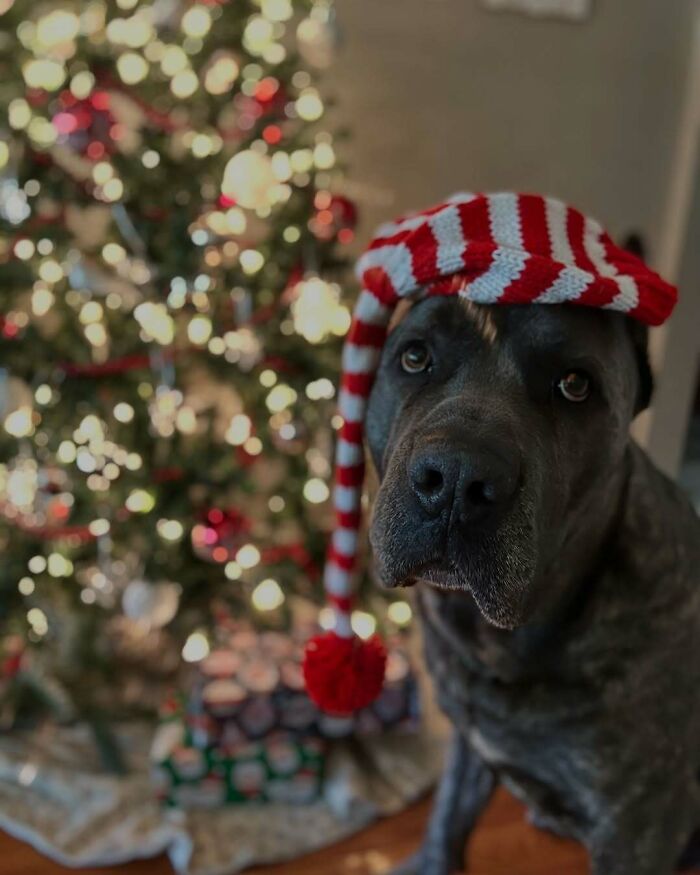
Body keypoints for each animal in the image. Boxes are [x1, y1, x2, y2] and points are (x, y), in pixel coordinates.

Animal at [366, 296, 700, 875]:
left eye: (575, 384)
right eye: (414, 356)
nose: (456, 477)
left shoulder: (637, 830)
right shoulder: (469, 743)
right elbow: (447, 815)